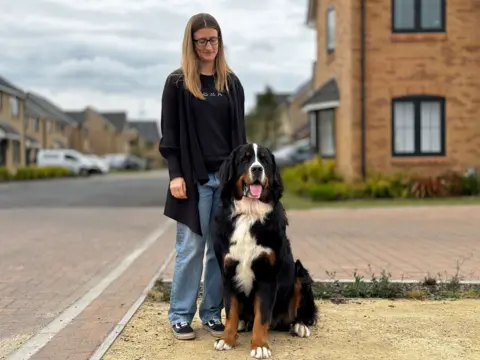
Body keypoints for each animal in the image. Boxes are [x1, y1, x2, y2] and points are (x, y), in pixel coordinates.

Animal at [212, 143, 316, 358]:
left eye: (264, 160)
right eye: (245, 159)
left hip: (300, 274)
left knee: (300, 314)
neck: (249, 213)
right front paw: (227, 339)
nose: (257, 169)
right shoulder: (228, 272)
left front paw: (259, 345)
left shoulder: (267, 275)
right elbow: (231, 312)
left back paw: (299, 326)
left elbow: (262, 317)